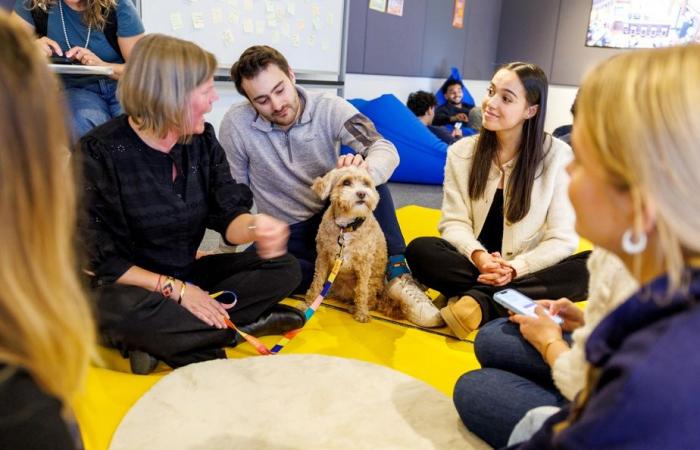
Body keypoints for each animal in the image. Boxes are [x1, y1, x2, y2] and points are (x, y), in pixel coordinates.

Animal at [308, 167, 404, 322]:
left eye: (366, 183)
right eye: (346, 182)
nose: (361, 193)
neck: (346, 227)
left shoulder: (364, 264)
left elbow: (362, 290)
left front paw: (362, 313)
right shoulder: (322, 256)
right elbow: (317, 281)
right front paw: (309, 303)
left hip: (373, 284)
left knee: (371, 300)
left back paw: (356, 307)